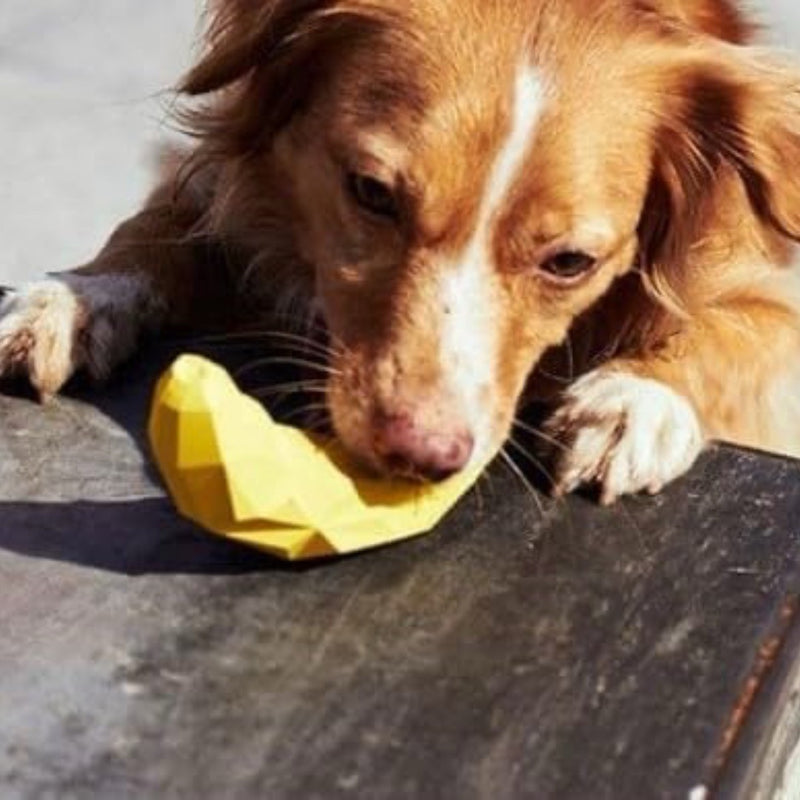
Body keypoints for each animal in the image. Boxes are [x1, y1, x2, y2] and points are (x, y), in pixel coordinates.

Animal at [1, 0, 800, 500]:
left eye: (570, 262)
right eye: (372, 193)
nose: (420, 455)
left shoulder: (762, 283)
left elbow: (733, 329)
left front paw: (634, 401)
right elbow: (157, 227)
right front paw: (76, 298)